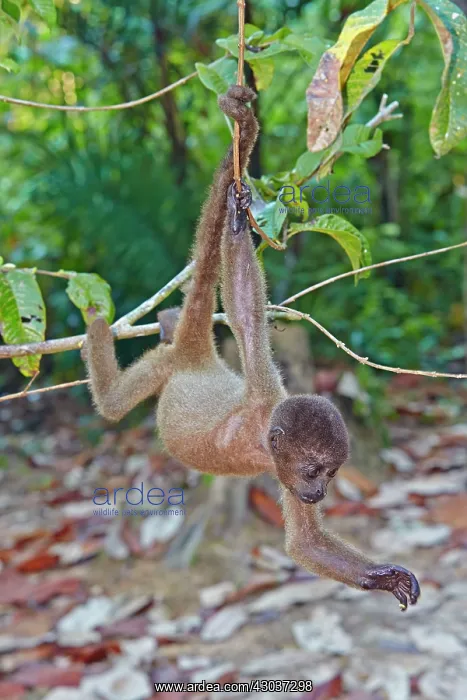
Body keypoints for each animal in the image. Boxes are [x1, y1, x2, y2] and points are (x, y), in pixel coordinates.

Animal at [84, 85, 420, 611]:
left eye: (332, 474)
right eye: (313, 470)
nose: (320, 493)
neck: (262, 433)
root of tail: (197, 359)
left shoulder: (276, 416)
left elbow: (304, 543)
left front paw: (384, 577)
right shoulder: (266, 401)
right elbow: (243, 308)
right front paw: (239, 222)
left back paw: (168, 321)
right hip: (165, 368)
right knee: (115, 406)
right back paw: (99, 333)